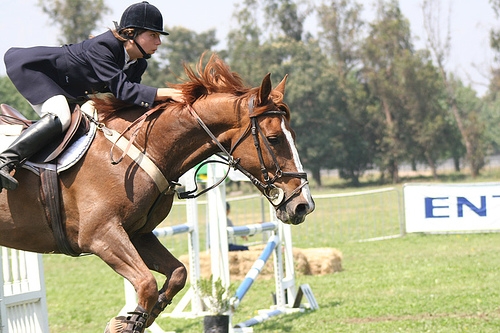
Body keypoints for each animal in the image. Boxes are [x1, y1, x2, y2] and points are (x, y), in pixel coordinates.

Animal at [0, 54, 314, 330]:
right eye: (273, 139)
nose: (303, 205)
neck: (141, 149)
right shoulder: (100, 235)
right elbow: (146, 284)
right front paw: (124, 324)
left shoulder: (136, 234)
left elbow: (177, 274)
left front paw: (139, 319)